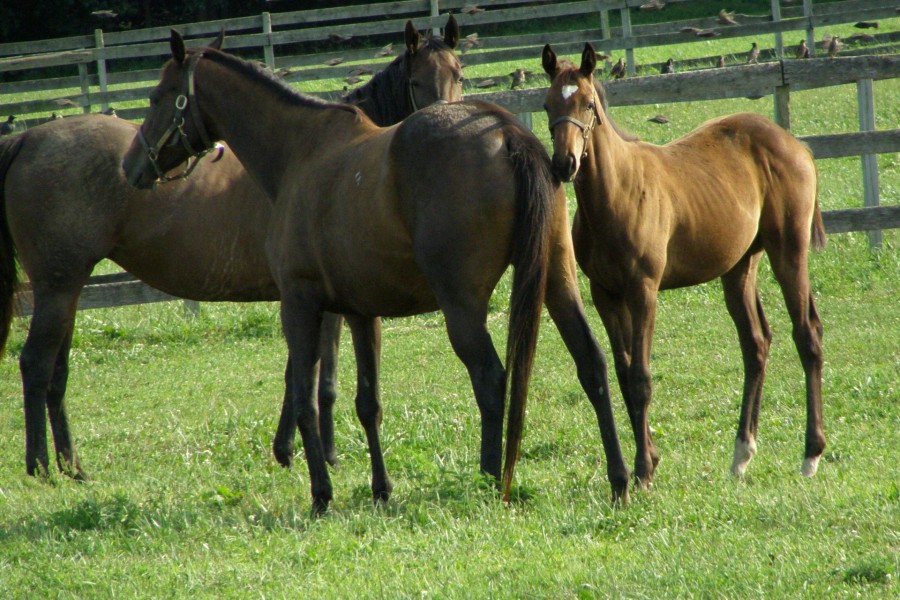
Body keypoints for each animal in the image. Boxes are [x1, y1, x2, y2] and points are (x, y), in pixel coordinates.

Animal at [0, 21, 464, 482]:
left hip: (68, 289)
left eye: (458, 73)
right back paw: (41, 465)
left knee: (57, 372)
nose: (446, 122)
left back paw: (72, 465)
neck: (330, 160)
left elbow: (305, 376)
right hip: (58, 286)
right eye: (417, 81)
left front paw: (293, 449)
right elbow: (319, 380)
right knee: (36, 364)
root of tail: (27, 138)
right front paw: (316, 453)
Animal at [121, 30, 632, 512]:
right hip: (558, 283)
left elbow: (305, 397)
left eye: (158, 96)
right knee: (592, 363)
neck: (299, 152)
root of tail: (507, 132)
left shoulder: (300, 305)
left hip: (462, 307)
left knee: (490, 379)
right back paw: (620, 478)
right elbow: (367, 403)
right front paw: (380, 489)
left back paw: (489, 479)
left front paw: (321, 493)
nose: (131, 166)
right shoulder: (361, 311)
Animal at [536, 44, 828, 490]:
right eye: (548, 104)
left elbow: (641, 379)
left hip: (789, 252)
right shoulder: (606, 295)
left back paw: (810, 454)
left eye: (587, 103)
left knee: (807, 334)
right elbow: (623, 374)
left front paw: (643, 471)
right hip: (740, 266)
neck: (617, 193)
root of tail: (795, 144)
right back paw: (741, 454)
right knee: (755, 344)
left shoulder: (643, 290)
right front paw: (650, 460)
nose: (564, 164)